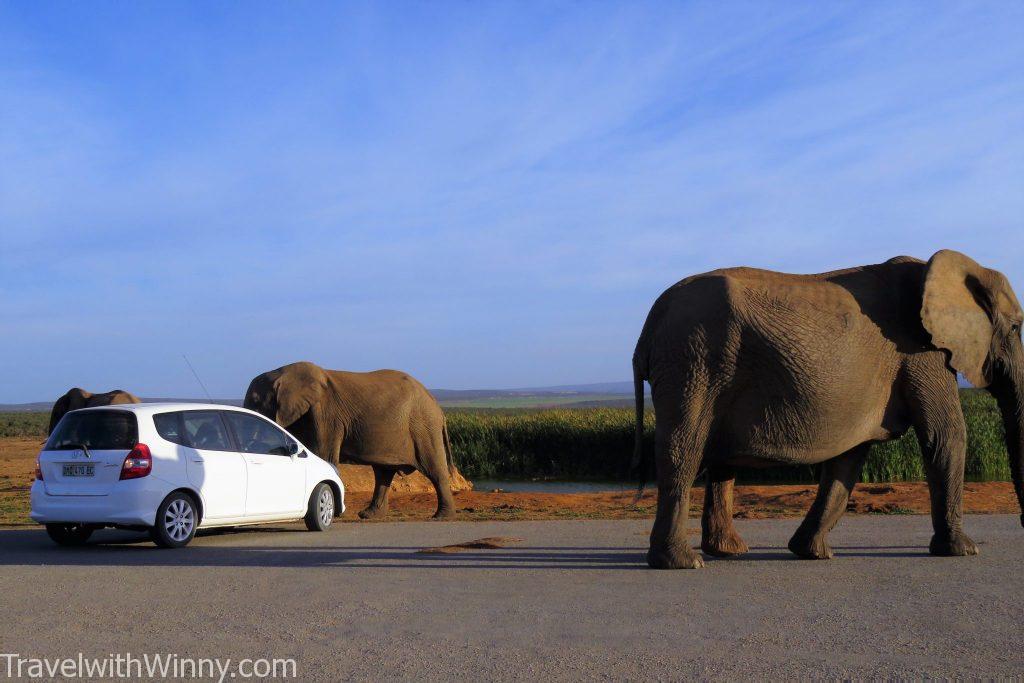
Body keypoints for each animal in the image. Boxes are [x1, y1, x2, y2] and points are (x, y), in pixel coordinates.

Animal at [243, 362, 456, 518]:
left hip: (424, 426)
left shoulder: (326, 414)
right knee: (383, 473)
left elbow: (323, 455)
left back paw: (442, 516)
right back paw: (369, 515)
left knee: (434, 469)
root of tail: (438, 408)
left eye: (255, 400)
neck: (282, 372)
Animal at [630, 250, 1024, 573]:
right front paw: (964, 551)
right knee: (683, 450)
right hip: (692, 359)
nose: (1023, 526)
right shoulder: (921, 353)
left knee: (718, 459)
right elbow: (946, 436)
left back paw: (730, 551)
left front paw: (813, 553)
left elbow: (849, 457)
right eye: (1017, 327)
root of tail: (650, 323)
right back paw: (684, 562)